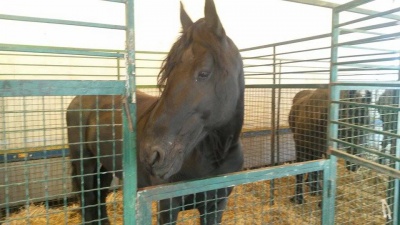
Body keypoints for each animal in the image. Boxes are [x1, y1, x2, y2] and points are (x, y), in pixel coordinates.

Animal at [66, 0, 244, 224]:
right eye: (168, 74)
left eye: (203, 73)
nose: (151, 155)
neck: (214, 155)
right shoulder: (167, 205)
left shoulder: (215, 206)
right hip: (85, 165)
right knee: (89, 200)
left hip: (104, 166)